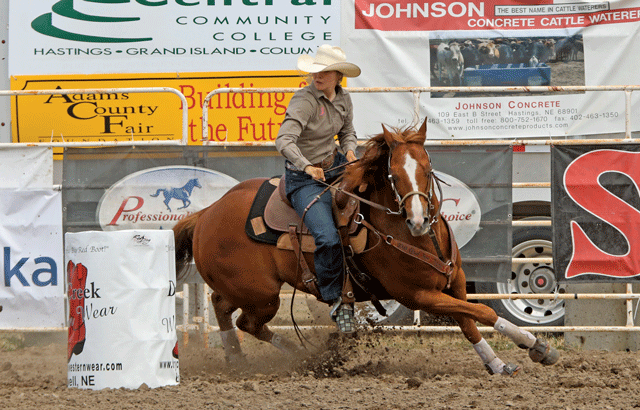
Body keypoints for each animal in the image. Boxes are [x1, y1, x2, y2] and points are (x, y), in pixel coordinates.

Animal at [172, 120, 559, 375]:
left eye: (427, 167)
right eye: (393, 174)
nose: (417, 220)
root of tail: (207, 213)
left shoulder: (456, 284)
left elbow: (470, 321)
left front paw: (500, 360)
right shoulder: (417, 295)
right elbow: (485, 313)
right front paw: (536, 344)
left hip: (248, 291)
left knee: (226, 309)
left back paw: (266, 355)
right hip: (262, 293)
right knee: (242, 319)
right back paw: (290, 355)